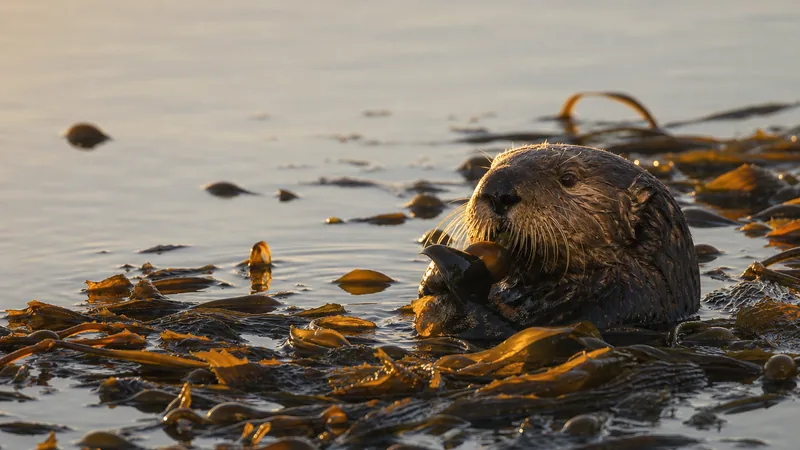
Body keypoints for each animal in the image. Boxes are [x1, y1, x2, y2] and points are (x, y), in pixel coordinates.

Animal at [414, 143, 701, 339]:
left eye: (568, 178)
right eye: (493, 166)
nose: (498, 191)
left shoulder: (619, 305)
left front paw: (447, 267)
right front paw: (434, 276)